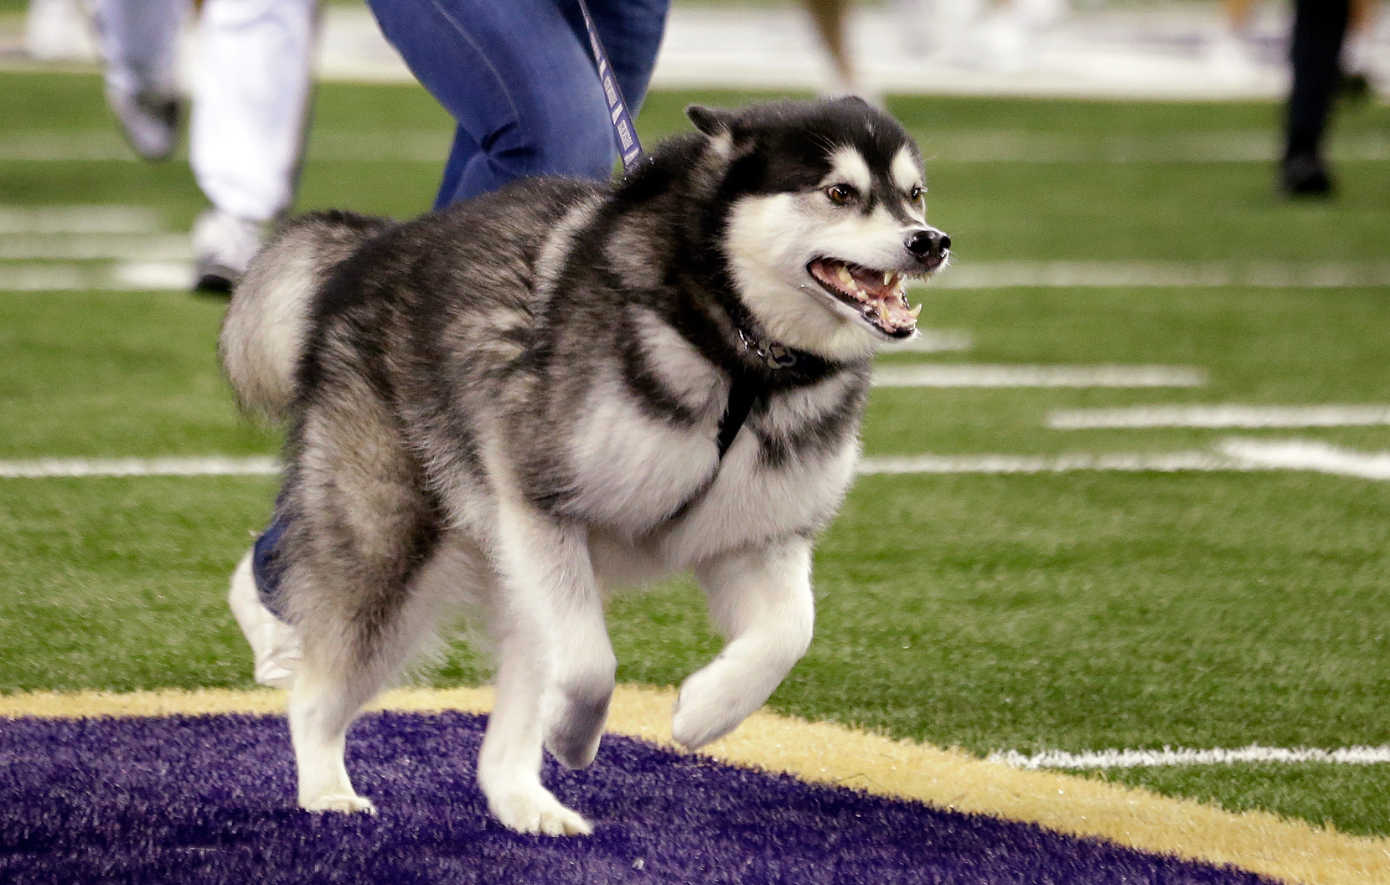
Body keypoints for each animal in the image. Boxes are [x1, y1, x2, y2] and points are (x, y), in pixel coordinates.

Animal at [222, 98, 950, 833]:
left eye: (914, 193)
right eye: (839, 193)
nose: (931, 242)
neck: (739, 353)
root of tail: (375, 243)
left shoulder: (756, 535)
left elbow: (790, 634)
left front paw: (705, 711)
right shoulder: (541, 505)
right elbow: (591, 665)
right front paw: (573, 735)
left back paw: (524, 800)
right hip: (393, 543)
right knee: (320, 683)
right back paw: (327, 785)